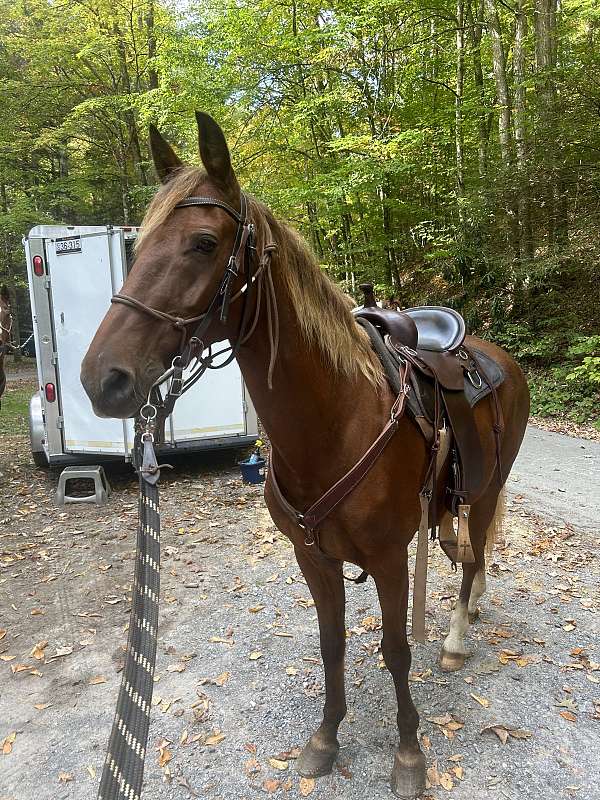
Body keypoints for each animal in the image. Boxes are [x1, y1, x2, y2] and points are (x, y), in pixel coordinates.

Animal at [81, 112, 530, 799]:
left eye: (204, 244)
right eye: (137, 248)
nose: (102, 379)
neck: (333, 422)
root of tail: (498, 356)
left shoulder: (389, 558)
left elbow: (396, 650)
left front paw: (408, 754)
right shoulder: (312, 558)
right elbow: (331, 644)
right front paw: (326, 737)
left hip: (485, 488)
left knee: (474, 554)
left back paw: (455, 635)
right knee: (469, 557)